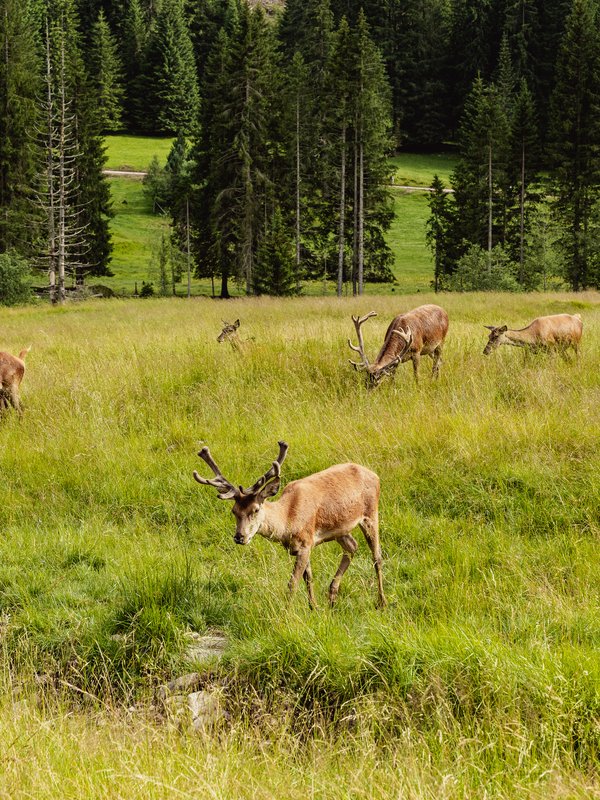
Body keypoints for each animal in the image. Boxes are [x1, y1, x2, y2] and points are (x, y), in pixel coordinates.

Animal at [195, 444, 386, 608]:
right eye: (234, 511)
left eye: (255, 509)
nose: (239, 537)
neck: (288, 520)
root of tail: (375, 475)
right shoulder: (302, 546)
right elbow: (308, 577)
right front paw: (314, 607)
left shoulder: (305, 543)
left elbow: (292, 582)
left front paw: (286, 613)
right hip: (341, 529)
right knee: (352, 546)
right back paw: (332, 597)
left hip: (371, 513)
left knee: (377, 556)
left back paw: (381, 602)